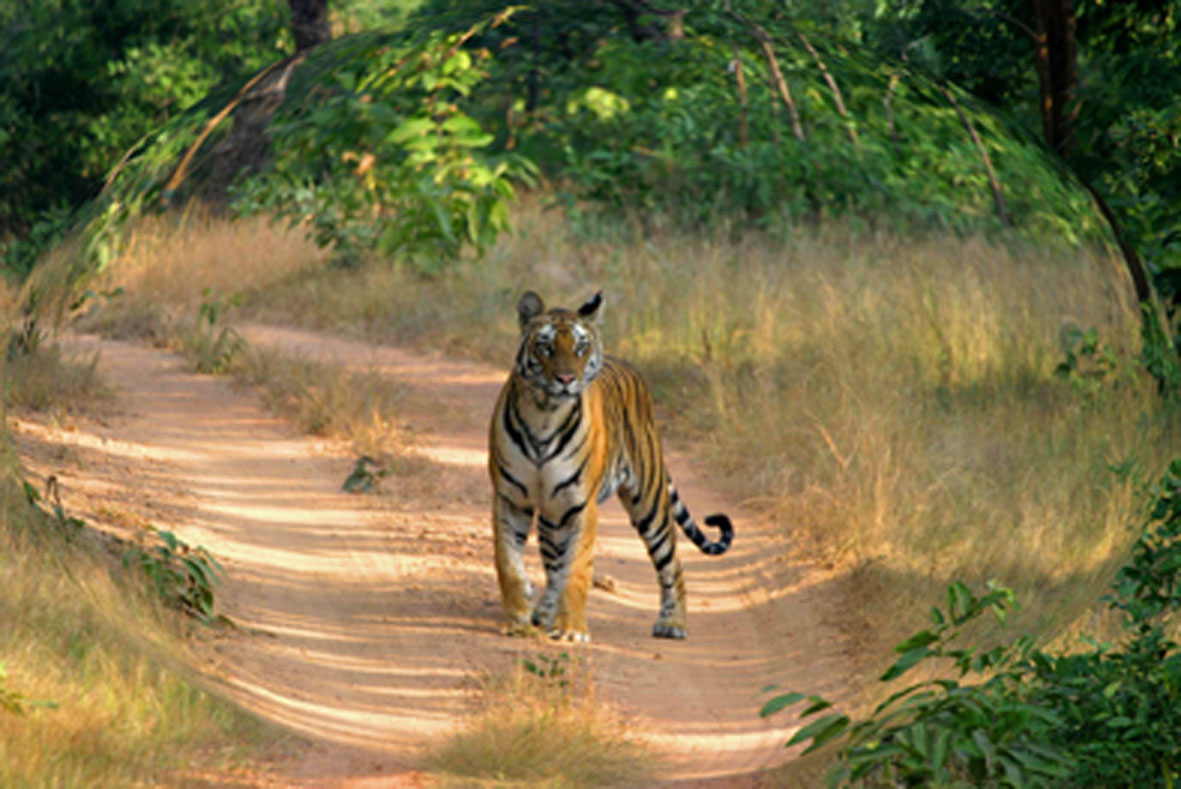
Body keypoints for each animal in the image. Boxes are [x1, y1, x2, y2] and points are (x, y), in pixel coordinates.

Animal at [486, 289, 727, 642]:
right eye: (545, 346)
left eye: (580, 347)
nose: (566, 379)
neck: (545, 413)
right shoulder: (510, 497)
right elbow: (508, 562)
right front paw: (519, 619)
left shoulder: (580, 505)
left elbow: (577, 568)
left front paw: (571, 630)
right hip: (552, 516)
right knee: (554, 565)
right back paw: (544, 613)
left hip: (649, 504)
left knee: (672, 563)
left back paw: (674, 623)